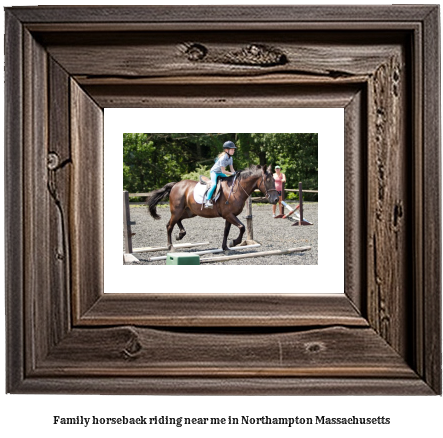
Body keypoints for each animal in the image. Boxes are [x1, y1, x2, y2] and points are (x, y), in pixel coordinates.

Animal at [147, 164, 280, 252]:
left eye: (274, 180)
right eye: (268, 180)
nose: (276, 200)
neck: (236, 190)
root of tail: (176, 184)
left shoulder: (229, 216)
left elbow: (226, 231)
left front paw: (225, 247)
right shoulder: (229, 215)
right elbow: (242, 227)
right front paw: (233, 242)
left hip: (189, 212)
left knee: (178, 221)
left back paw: (180, 234)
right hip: (177, 210)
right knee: (169, 225)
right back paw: (170, 246)